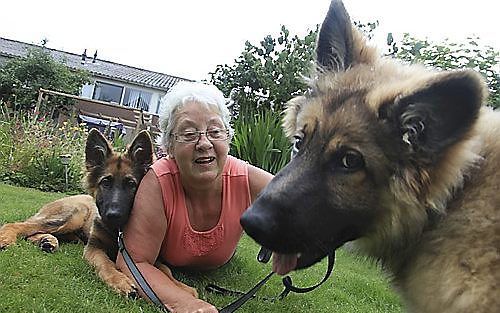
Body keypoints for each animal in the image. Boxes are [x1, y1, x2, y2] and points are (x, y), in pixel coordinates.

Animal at [0, 129, 197, 298]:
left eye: (131, 184)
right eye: (106, 182)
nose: (113, 215)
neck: (117, 231)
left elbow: (165, 270)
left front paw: (182, 287)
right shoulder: (94, 248)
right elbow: (106, 264)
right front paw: (120, 281)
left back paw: (47, 241)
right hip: (74, 215)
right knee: (23, 225)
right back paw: (10, 238)